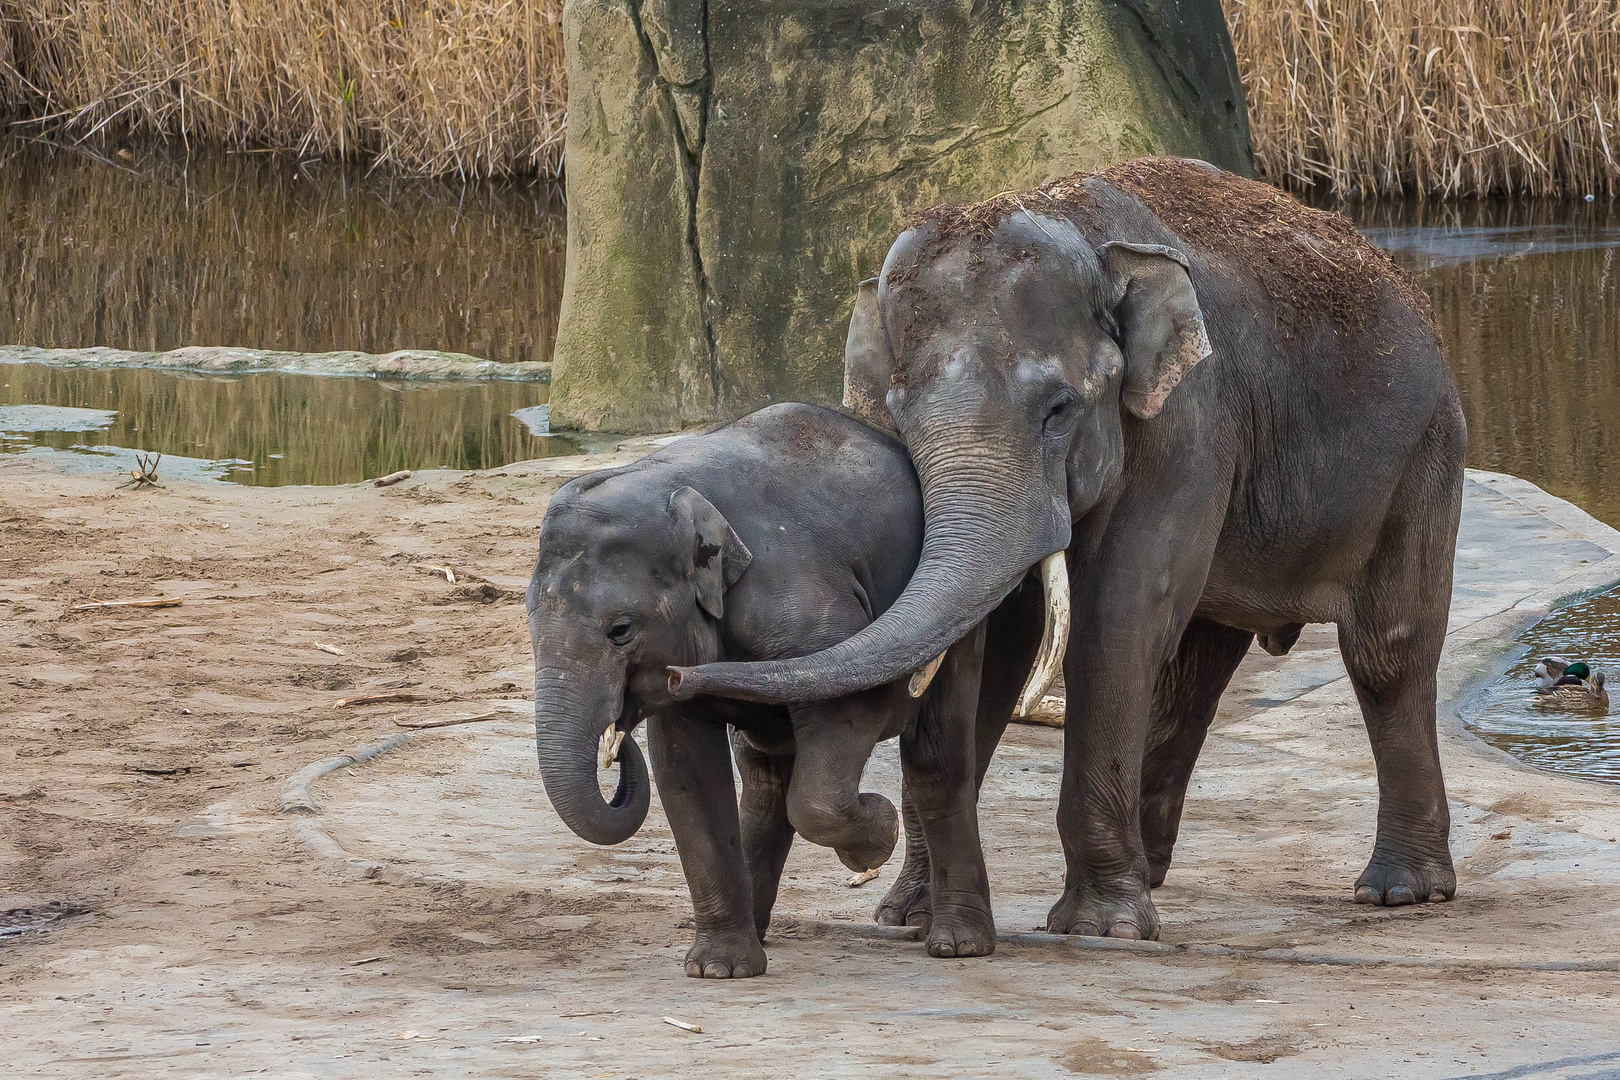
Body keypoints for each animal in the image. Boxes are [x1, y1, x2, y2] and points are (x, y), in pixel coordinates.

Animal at [524, 401, 1017, 977]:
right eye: (529, 622)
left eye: (620, 630)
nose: (617, 734)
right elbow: (686, 770)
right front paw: (718, 970)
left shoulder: (807, 608)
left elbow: (852, 710)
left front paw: (877, 838)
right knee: (765, 777)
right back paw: (757, 934)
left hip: (957, 623)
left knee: (936, 759)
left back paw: (959, 944)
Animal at [670, 156, 1470, 939]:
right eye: (897, 415)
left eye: (1058, 410)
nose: (678, 677)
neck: (1071, 217)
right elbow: (1004, 641)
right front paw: (903, 914)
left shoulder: (1190, 421)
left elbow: (1118, 616)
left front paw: (1101, 926)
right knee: (1197, 670)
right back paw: (1153, 869)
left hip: (1425, 451)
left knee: (1385, 651)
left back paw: (1400, 890)